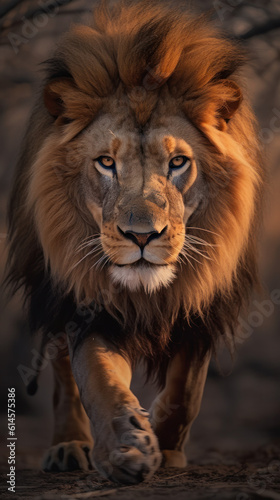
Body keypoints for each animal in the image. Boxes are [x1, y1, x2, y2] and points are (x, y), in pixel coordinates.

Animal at [4, 0, 264, 486]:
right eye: (106, 163)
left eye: (178, 162)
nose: (142, 236)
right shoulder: (88, 305)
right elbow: (97, 377)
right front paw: (126, 445)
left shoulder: (203, 303)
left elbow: (186, 388)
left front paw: (166, 444)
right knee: (63, 376)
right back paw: (69, 446)